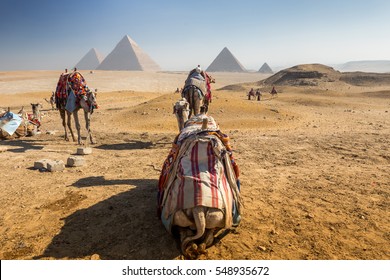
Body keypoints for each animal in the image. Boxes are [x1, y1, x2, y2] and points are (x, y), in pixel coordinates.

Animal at [158, 106, 242, 260]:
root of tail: (199, 208)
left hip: (189, 215)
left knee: (190, 233)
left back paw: (195, 248)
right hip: (211, 216)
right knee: (203, 234)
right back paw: (197, 248)